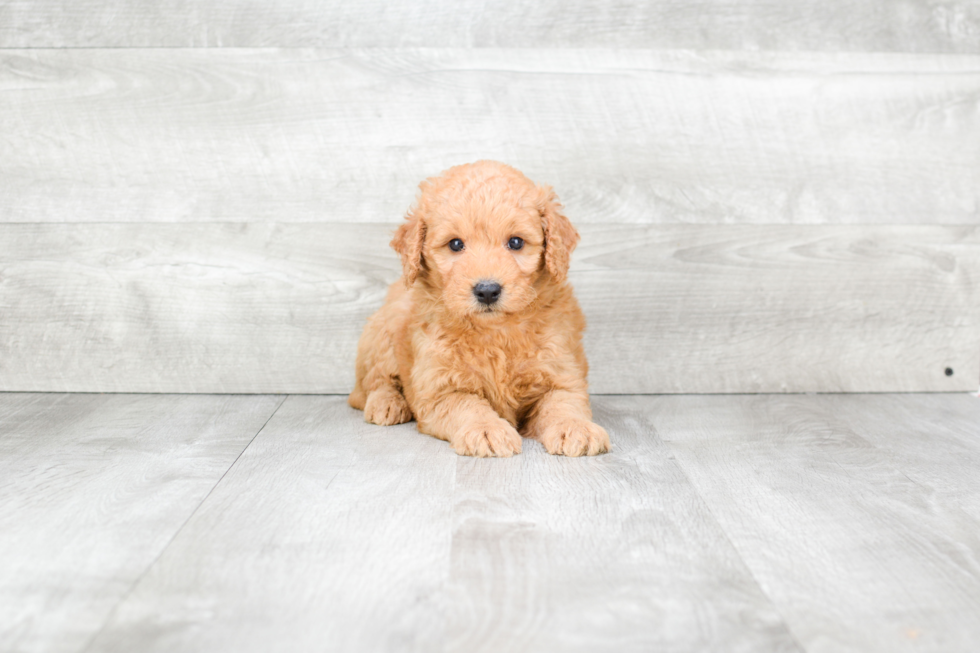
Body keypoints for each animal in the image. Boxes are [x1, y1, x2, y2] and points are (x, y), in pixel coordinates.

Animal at [348, 160, 608, 456]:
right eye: (455, 244)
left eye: (516, 242)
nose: (487, 291)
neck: (495, 332)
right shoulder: (440, 390)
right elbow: (467, 406)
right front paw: (486, 429)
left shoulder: (561, 372)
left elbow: (563, 403)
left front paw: (576, 428)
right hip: (380, 333)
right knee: (372, 384)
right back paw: (387, 404)